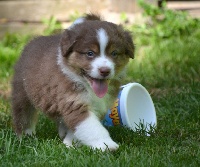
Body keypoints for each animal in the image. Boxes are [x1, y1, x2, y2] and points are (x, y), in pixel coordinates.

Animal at [11, 13, 134, 151]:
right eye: (90, 53)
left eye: (114, 53)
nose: (104, 70)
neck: (87, 86)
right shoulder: (74, 103)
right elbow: (93, 128)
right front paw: (106, 144)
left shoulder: (100, 105)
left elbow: (79, 129)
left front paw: (70, 143)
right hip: (22, 92)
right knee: (23, 114)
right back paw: (25, 136)